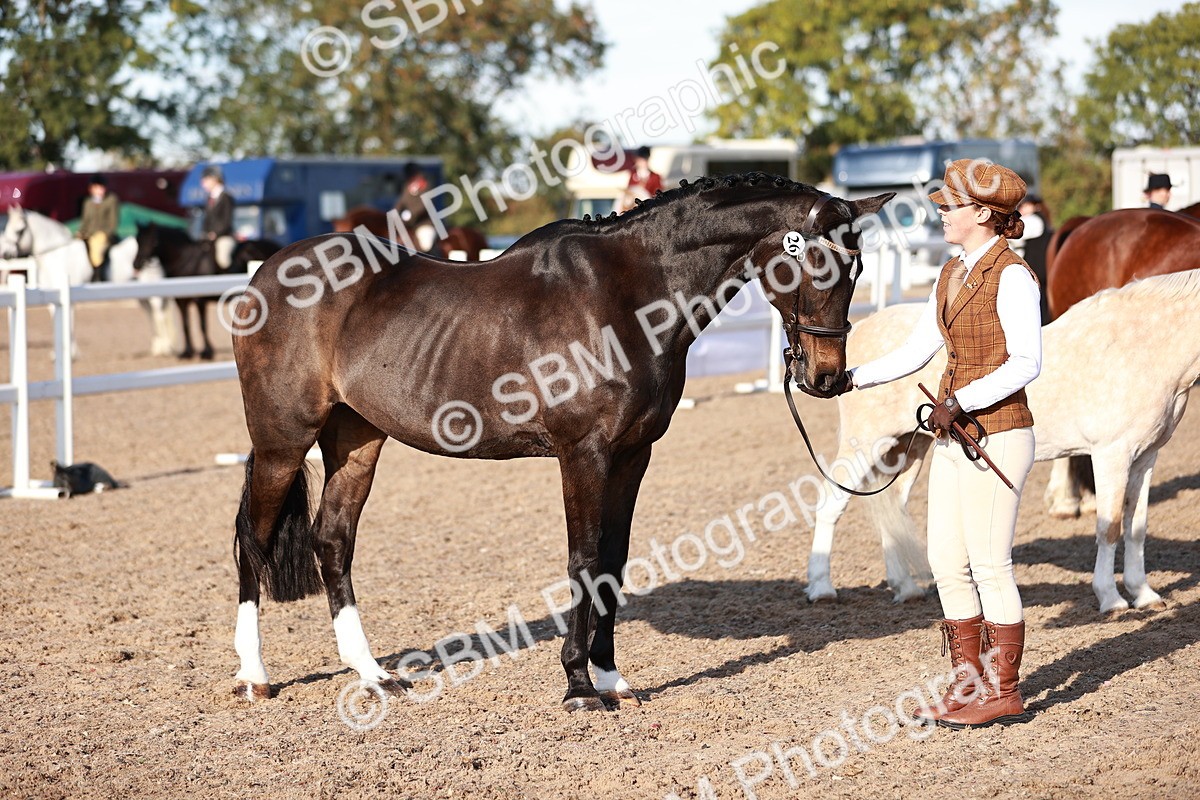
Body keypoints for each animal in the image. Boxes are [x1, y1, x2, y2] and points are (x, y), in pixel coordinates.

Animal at [806, 269, 1200, 613]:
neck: (1137, 344)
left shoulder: (1146, 456)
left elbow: (1137, 527)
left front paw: (1144, 594)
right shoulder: (1111, 454)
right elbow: (1110, 527)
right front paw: (1112, 599)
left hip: (907, 446)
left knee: (894, 510)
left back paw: (905, 588)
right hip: (865, 444)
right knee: (830, 503)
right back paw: (821, 589)